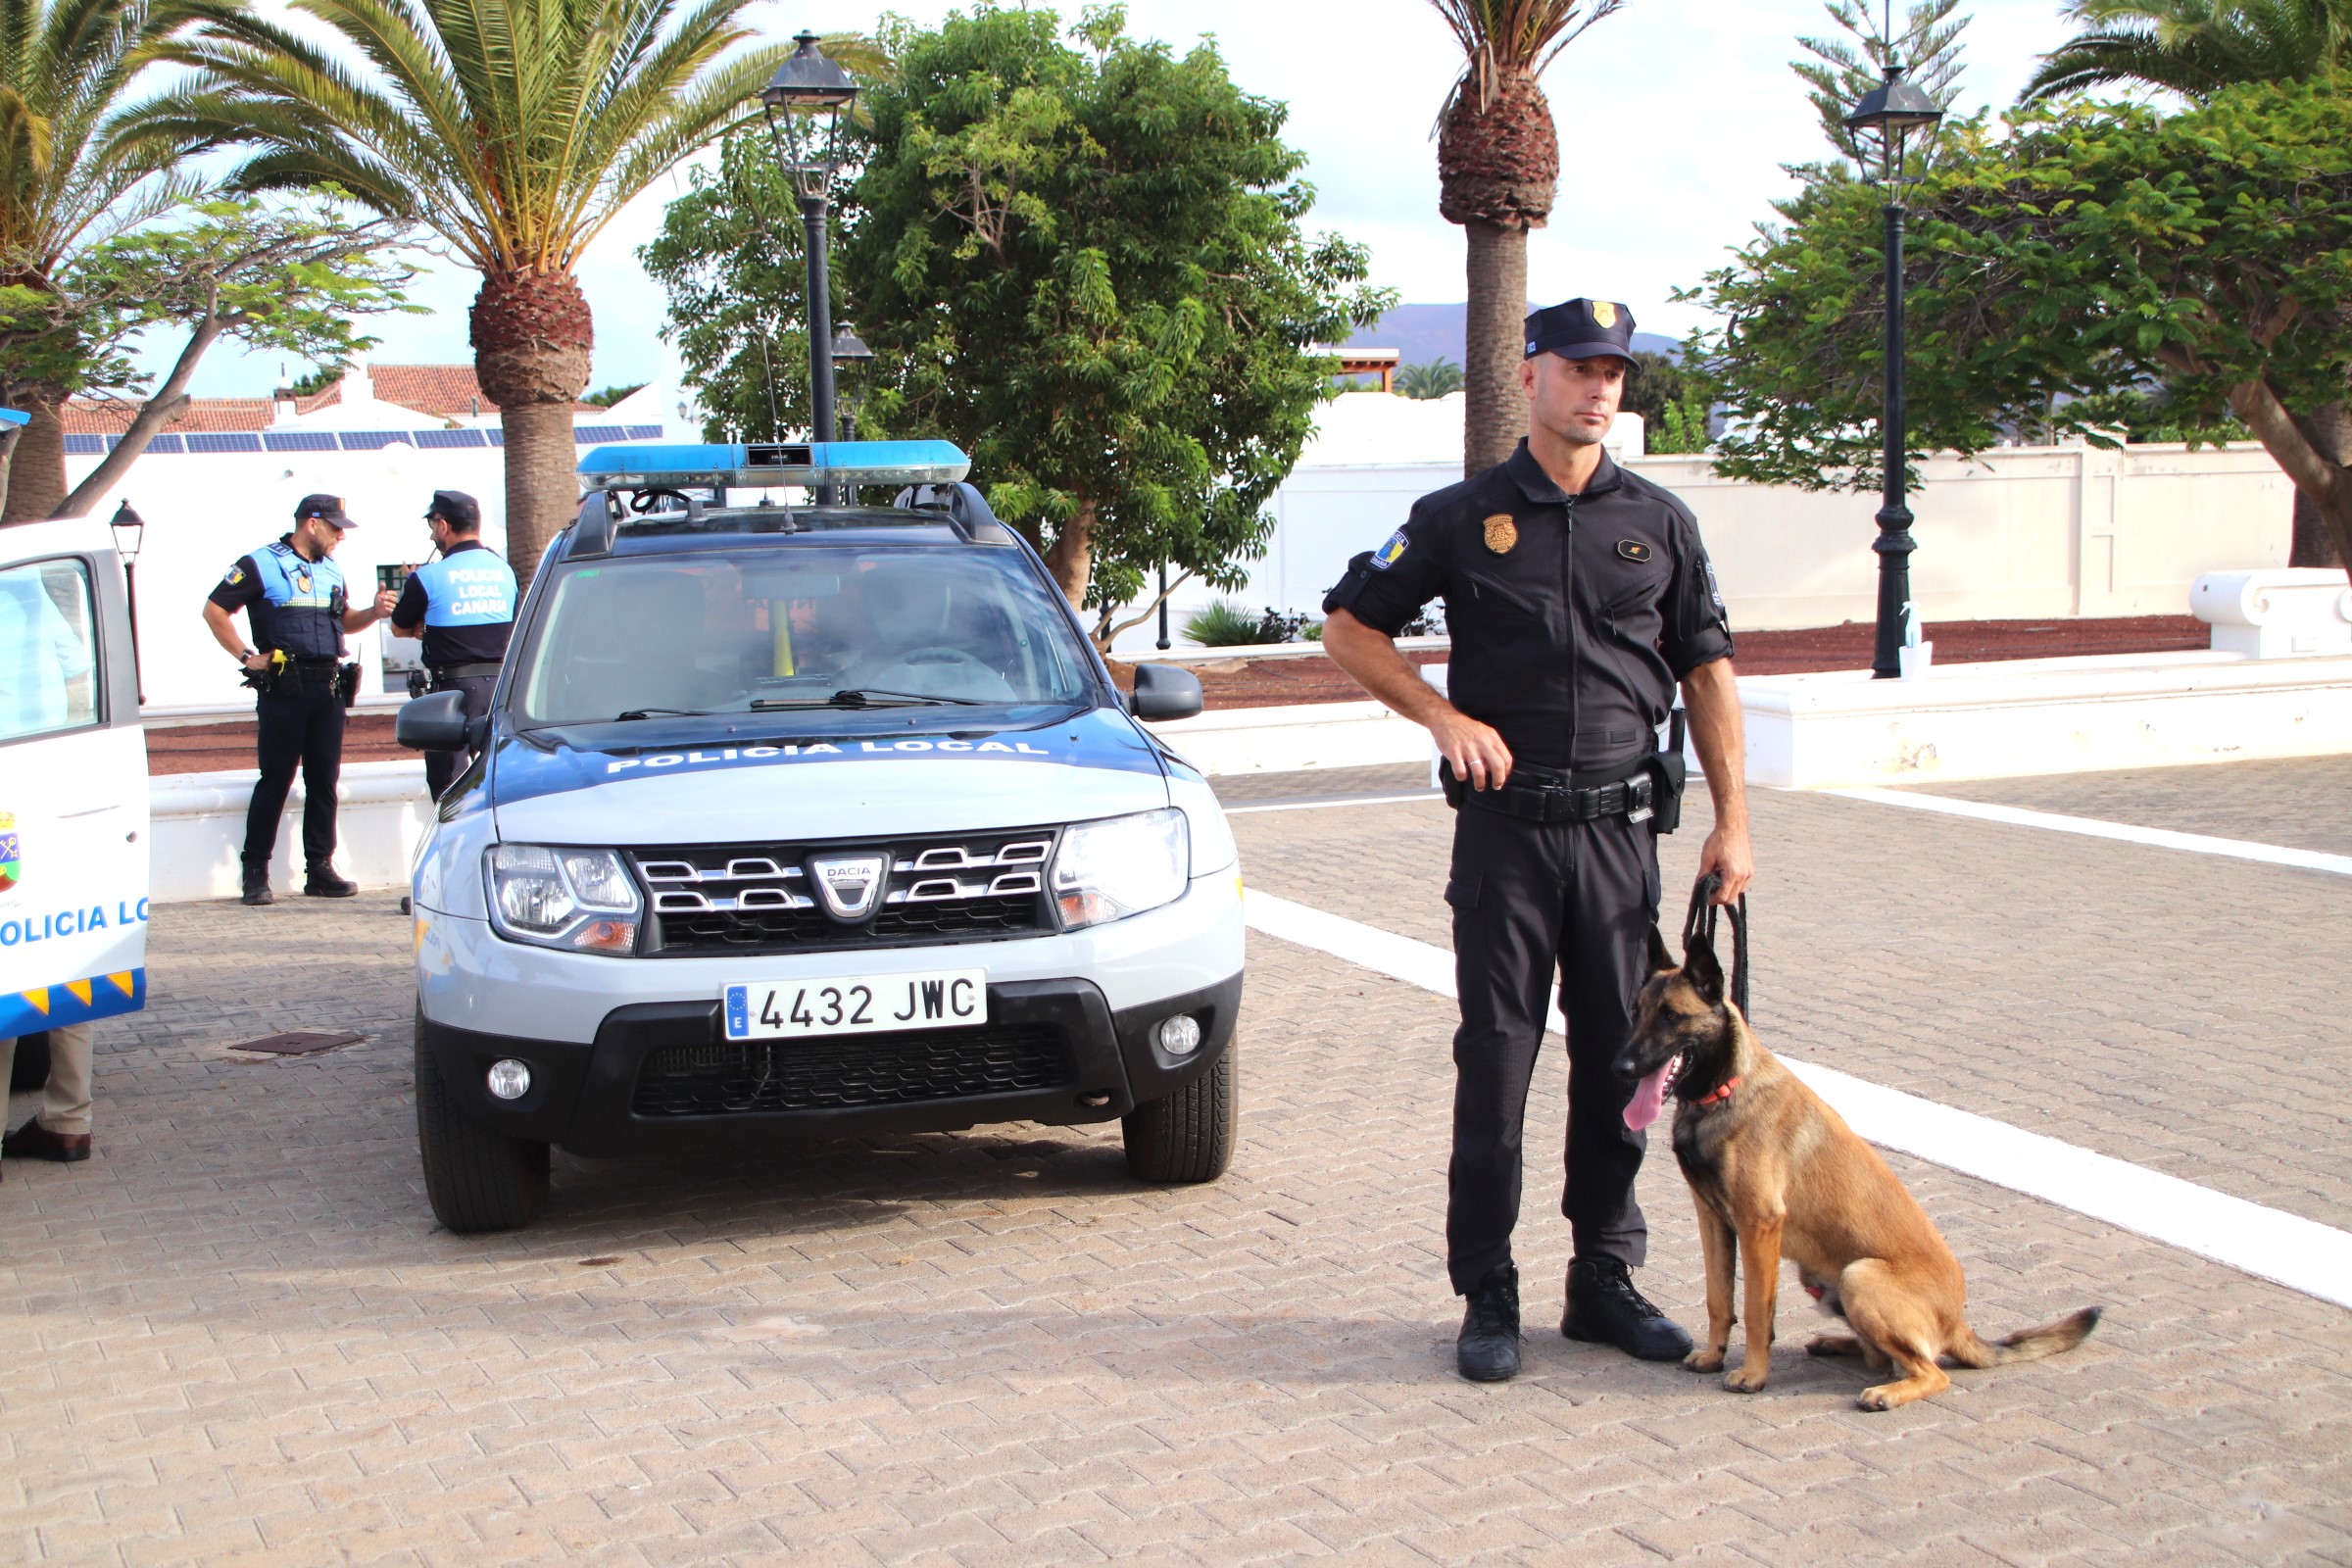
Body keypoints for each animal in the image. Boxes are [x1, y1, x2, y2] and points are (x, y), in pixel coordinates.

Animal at [1618, 921, 2097, 1410]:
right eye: (1637, 1011)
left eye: (1671, 1016)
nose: (1622, 1066)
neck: (1725, 1090)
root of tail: (1958, 1323)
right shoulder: (1714, 1219)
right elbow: (1719, 1298)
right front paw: (1715, 1356)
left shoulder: (1758, 1225)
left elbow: (1754, 1309)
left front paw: (1752, 1374)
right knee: (1883, 1355)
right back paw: (1834, 1343)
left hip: (1859, 1277)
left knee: (1931, 1370)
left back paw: (1885, 1392)